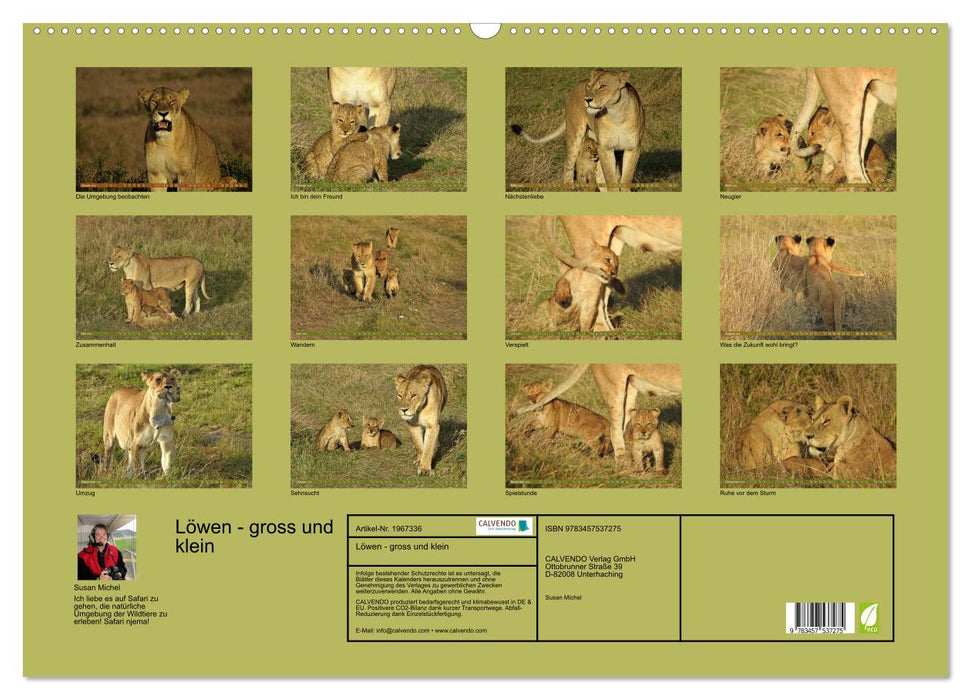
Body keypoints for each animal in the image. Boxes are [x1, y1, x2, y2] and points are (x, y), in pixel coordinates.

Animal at [511, 69, 644, 191]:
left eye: (602, 86)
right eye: (589, 86)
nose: (587, 99)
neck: (617, 115)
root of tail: (577, 85)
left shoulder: (632, 148)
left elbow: (625, 179)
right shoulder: (605, 148)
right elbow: (610, 178)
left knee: (598, 172)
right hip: (575, 136)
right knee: (568, 164)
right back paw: (569, 187)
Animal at [516, 364, 681, 461]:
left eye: (539, 392)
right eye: (529, 394)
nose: (533, 401)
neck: (541, 410)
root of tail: (605, 423)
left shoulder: (552, 425)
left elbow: (546, 435)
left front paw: (541, 445)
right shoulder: (540, 422)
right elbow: (531, 425)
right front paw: (526, 434)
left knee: (607, 440)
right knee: (616, 433)